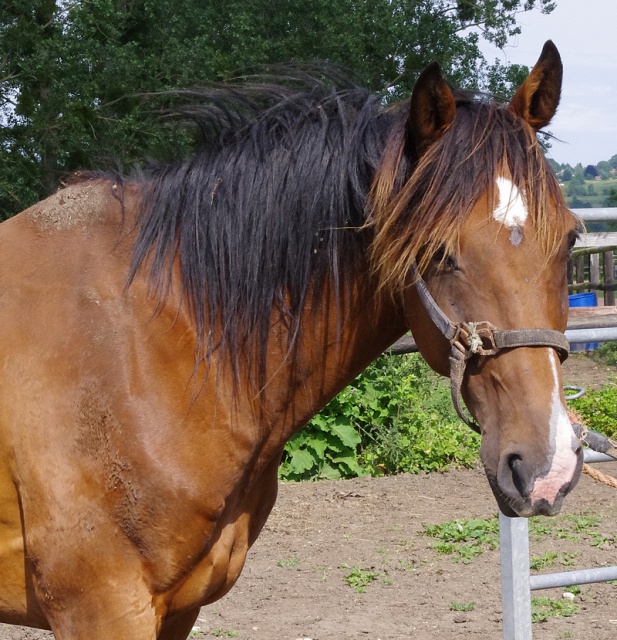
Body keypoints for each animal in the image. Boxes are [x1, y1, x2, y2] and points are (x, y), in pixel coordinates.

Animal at [0, 42, 580, 636]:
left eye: (570, 240)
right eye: (438, 252)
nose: (547, 466)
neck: (143, 349)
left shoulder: (180, 607)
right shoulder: (101, 607)